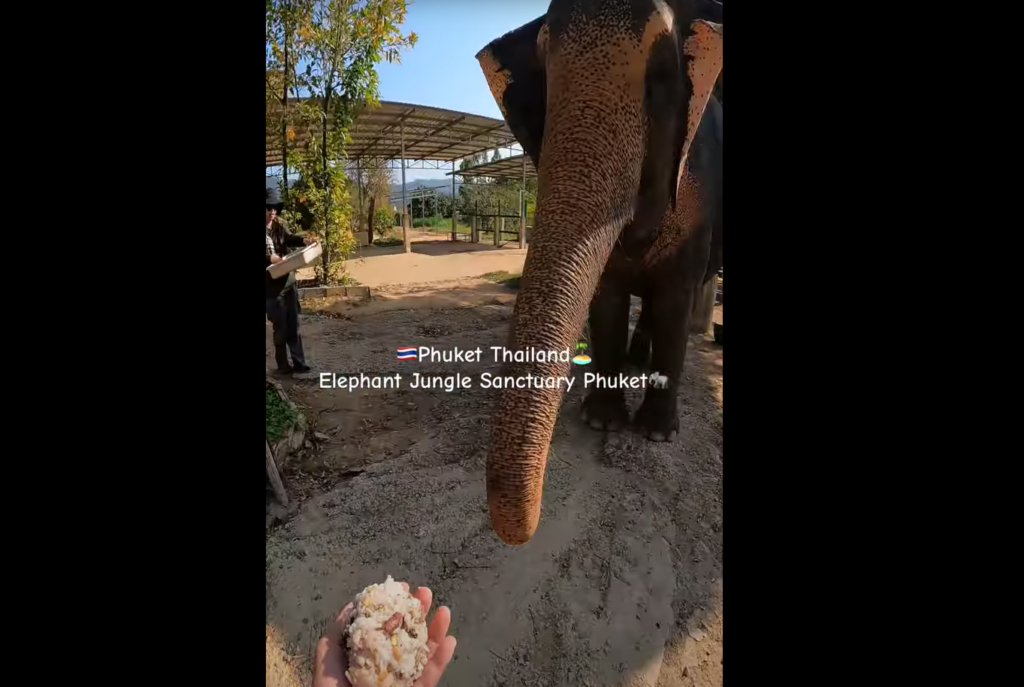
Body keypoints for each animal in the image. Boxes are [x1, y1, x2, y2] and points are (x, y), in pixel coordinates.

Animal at [475, 0, 723, 545]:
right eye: (546, 82)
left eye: (660, 80)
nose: (519, 534)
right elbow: (605, 301)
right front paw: (600, 423)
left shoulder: (699, 194)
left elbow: (674, 299)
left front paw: (657, 433)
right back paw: (632, 361)